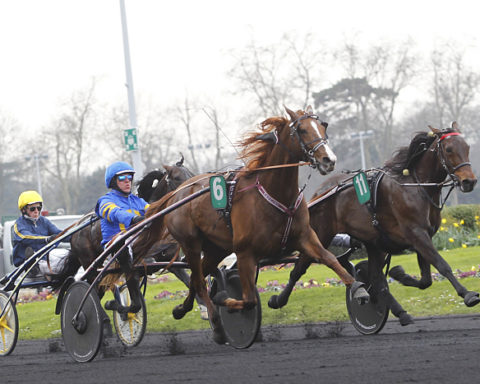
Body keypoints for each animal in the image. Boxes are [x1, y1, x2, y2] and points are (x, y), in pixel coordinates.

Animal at [133, 105, 370, 342]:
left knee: (195, 278)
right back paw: (216, 324)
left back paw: (182, 309)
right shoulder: (245, 253)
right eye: (302, 130)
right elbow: (248, 300)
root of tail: (177, 195)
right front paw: (224, 301)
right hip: (190, 243)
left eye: (323, 126)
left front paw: (358, 288)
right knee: (199, 280)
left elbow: (330, 259)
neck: (274, 193)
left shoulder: (305, 236)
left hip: (216, 248)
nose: (329, 159)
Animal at [268, 122, 478, 324]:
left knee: (375, 279)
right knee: (299, 269)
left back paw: (398, 311)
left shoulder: (422, 236)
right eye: (449, 149)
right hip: (320, 234)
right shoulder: (416, 233)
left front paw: (399, 274)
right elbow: (442, 265)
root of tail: (319, 193)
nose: (469, 181)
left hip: (374, 242)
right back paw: (277, 300)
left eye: (467, 147)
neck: (416, 186)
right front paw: (468, 295)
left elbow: (425, 279)